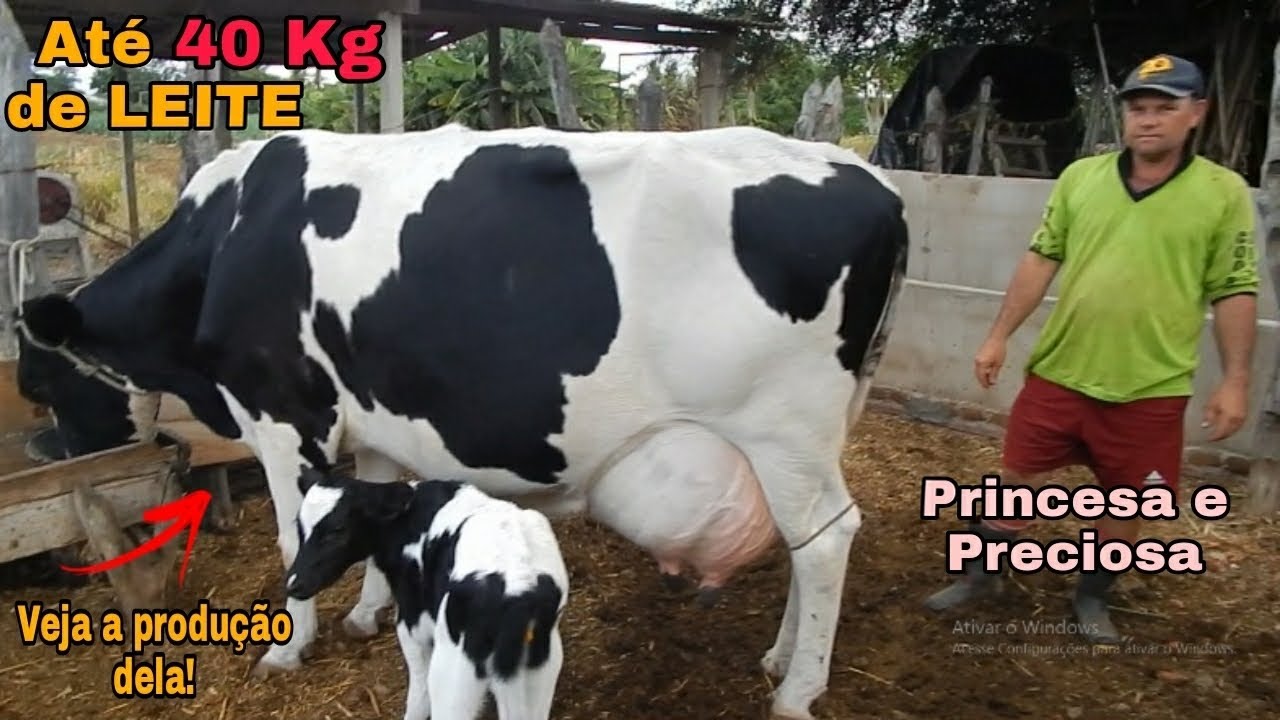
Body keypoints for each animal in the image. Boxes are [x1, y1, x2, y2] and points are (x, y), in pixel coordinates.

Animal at [287, 464, 568, 720]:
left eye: (338, 530)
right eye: (299, 527)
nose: (293, 584)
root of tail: (518, 586)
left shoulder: (413, 623)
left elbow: (418, 692)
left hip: (453, 672)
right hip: (540, 670)